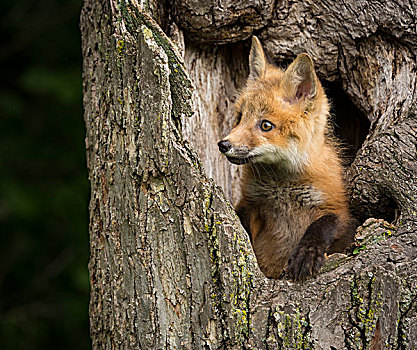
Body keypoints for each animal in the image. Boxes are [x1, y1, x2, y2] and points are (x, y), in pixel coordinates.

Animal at [218, 36, 354, 282]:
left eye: (265, 125)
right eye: (240, 117)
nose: (224, 145)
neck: (283, 187)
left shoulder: (338, 208)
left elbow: (323, 224)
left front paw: (306, 253)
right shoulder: (251, 204)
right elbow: (243, 224)